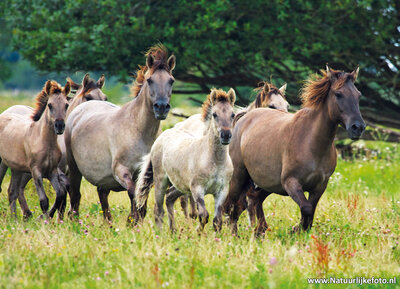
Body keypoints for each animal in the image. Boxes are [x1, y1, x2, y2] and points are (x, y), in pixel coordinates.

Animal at [0, 80, 70, 217]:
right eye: (50, 105)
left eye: (66, 105)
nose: (59, 126)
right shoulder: (36, 171)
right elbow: (44, 200)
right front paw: (44, 219)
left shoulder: (52, 171)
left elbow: (59, 194)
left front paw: (46, 217)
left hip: (16, 168)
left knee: (12, 191)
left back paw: (15, 219)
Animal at [65, 44, 175, 220]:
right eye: (150, 80)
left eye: (171, 80)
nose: (162, 107)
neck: (139, 131)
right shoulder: (121, 171)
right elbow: (133, 195)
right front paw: (132, 220)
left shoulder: (145, 176)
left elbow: (141, 204)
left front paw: (133, 221)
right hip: (74, 168)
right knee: (75, 196)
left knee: (102, 197)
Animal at [137, 89, 236, 231]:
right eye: (215, 114)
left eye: (232, 114)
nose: (226, 135)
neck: (215, 161)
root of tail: (163, 135)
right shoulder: (197, 189)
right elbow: (204, 215)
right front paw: (198, 232)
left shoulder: (222, 191)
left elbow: (217, 221)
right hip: (161, 180)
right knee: (158, 209)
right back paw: (160, 233)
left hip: (180, 185)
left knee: (169, 198)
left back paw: (173, 231)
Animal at [225, 66, 366, 235]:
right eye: (338, 94)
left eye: (358, 95)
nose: (358, 127)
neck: (311, 142)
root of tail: (245, 118)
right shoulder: (290, 182)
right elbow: (306, 208)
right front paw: (294, 230)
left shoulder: (319, 186)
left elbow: (310, 213)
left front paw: (298, 230)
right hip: (238, 176)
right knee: (232, 206)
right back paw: (230, 234)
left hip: (268, 183)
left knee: (252, 200)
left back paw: (258, 231)